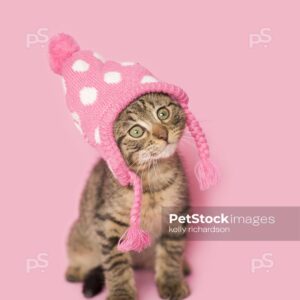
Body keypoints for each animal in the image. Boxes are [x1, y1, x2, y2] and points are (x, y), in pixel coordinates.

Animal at [65, 92, 191, 298]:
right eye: (136, 131)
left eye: (163, 113)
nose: (163, 134)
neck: (153, 176)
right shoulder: (108, 222)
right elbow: (116, 263)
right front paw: (121, 293)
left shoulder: (176, 213)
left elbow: (171, 251)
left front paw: (171, 282)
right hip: (80, 238)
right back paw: (75, 270)